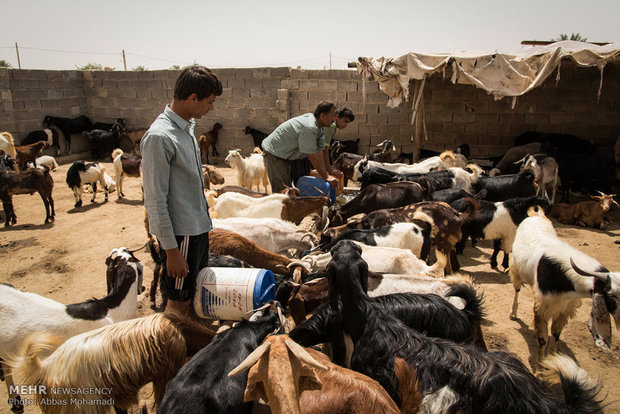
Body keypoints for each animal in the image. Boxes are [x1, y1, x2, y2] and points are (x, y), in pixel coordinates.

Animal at [508, 213, 620, 368]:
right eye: (611, 295)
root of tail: (535, 216)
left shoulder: (566, 307)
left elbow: (556, 333)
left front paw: (553, 359)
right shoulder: (543, 307)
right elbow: (542, 338)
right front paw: (539, 367)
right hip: (517, 270)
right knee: (517, 290)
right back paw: (513, 312)